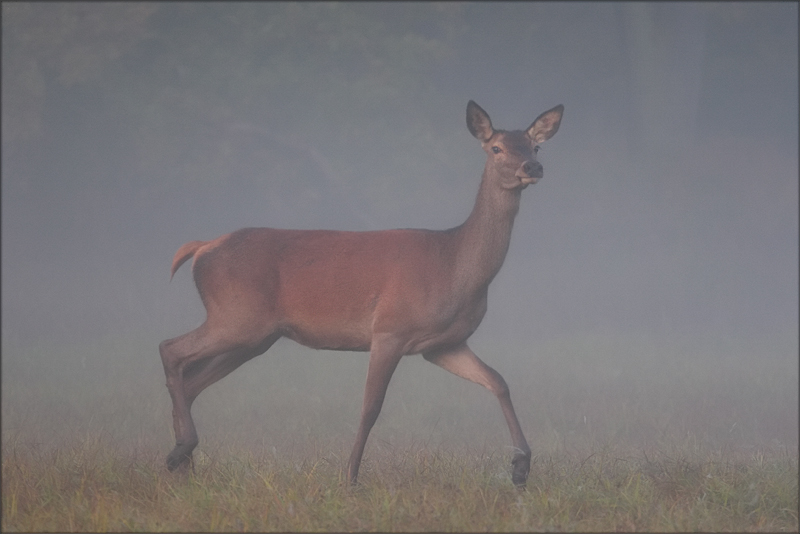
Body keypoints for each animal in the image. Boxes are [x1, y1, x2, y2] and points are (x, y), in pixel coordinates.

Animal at [161, 100, 564, 490]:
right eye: (496, 148)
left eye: (535, 145)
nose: (533, 166)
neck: (453, 265)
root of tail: (202, 247)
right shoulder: (389, 329)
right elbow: (371, 407)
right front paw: (350, 478)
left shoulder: (442, 344)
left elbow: (499, 380)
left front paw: (521, 468)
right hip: (235, 316)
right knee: (170, 349)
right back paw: (179, 452)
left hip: (255, 336)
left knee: (191, 379)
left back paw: (185, 468)